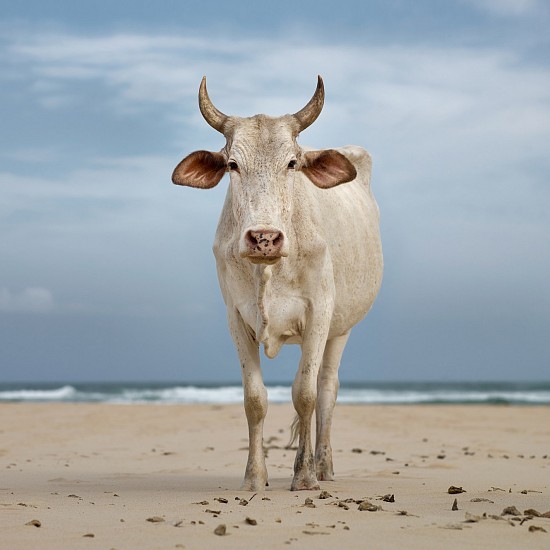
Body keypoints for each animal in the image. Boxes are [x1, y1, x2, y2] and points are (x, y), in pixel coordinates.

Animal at [172, 76, 384, 492]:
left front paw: (303, 476)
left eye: (292, 163)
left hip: (342, 329)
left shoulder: (320, 313)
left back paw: (323, 466)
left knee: (326, 390)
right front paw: (254, 477)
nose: (264, 238)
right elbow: (254, 399)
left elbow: (304, 394)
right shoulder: (236, 318)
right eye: (233, 164)